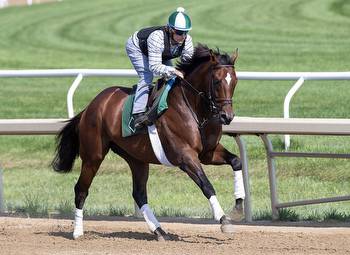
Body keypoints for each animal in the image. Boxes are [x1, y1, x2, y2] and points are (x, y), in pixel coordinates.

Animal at [52, 44, 245, 241]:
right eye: (217, 81)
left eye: (235, 81)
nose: (227, 116)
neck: (194, 110)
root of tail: (91, 106)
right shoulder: (185, 156)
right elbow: (206, 185)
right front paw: (223, 220)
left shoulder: (208, 152)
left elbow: (236, 161)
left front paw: (238, 207)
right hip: (93, 155)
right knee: (81, 189)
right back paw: (77, 232)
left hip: (136, 158)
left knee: (139, 194)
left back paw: (159, 230)